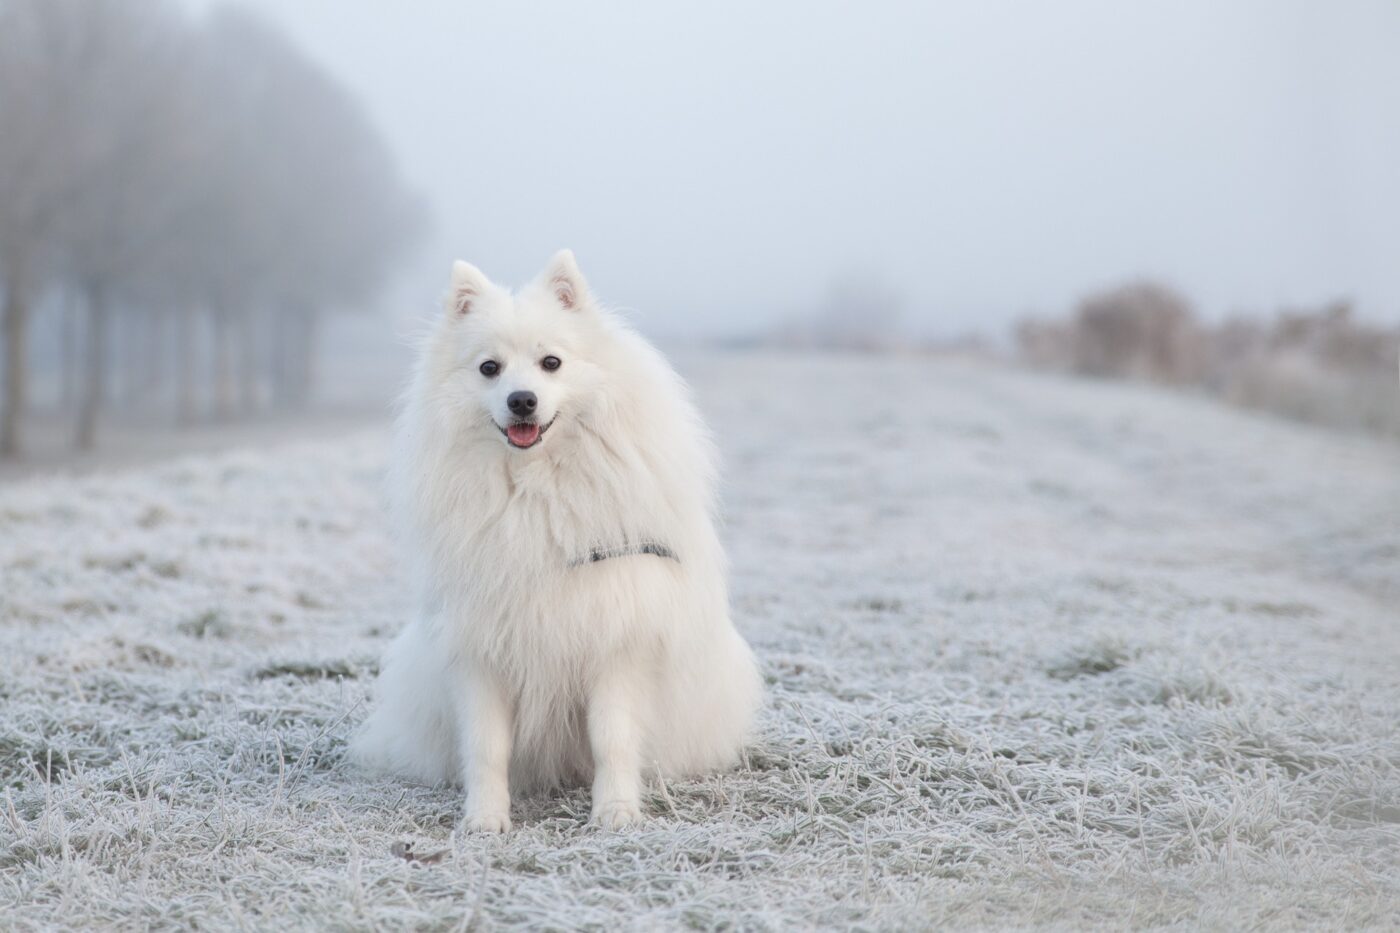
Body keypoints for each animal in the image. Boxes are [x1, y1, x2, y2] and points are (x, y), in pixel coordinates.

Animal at [350, 249, 767, 829]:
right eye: (489, 368)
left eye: (551, 362)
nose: (522, 400)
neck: (534, 491)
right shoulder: (481, 648)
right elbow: (486, 746)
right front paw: (485, 820)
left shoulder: (617, 640)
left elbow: (612, 738)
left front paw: (615, 812)